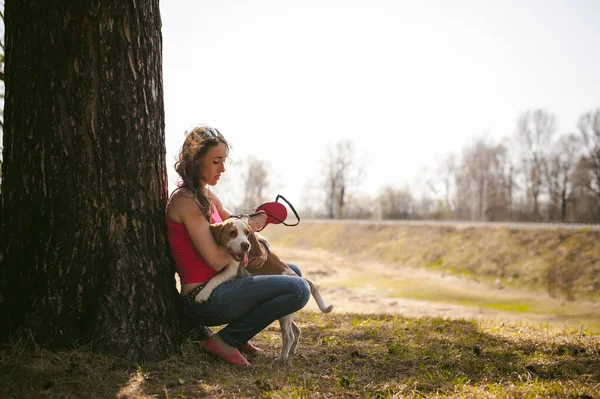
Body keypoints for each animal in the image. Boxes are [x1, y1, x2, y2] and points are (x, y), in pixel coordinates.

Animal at [199, 217, 336, 360]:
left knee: (289, 336)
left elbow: (215, 278)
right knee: (297, 330)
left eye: (247, 233)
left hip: (284, 316)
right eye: (233, 233)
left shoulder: (231, 270)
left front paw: (202, 294)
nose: (246, 245)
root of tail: (300, 278)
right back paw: (292, 351)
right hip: (286, 314)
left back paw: (282, 358)